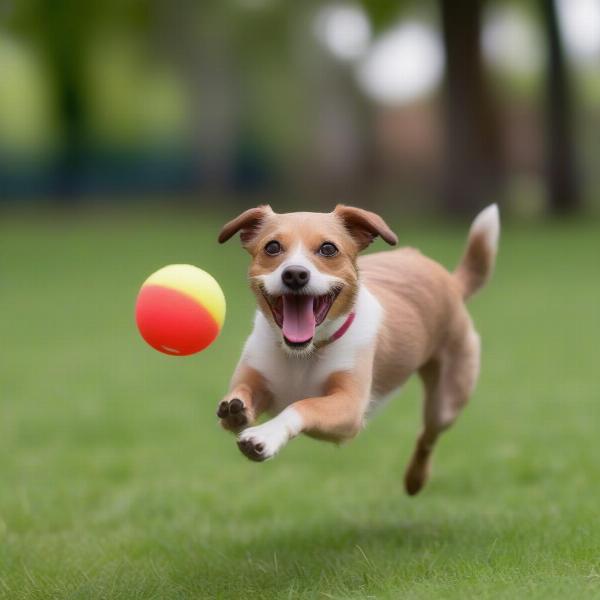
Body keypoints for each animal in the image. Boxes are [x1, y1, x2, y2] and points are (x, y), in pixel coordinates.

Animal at [214, 204, 496, 494]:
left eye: (328, 248)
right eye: (272, 247)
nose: (294, 274)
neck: (304, 353)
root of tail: (451, 281)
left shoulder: (348, 407)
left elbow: (303, 405)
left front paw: (265, 435)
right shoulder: (256, 375)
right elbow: (241, 394)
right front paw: (237, 410)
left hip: (447, 397)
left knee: (428, 434)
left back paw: (415, 479)